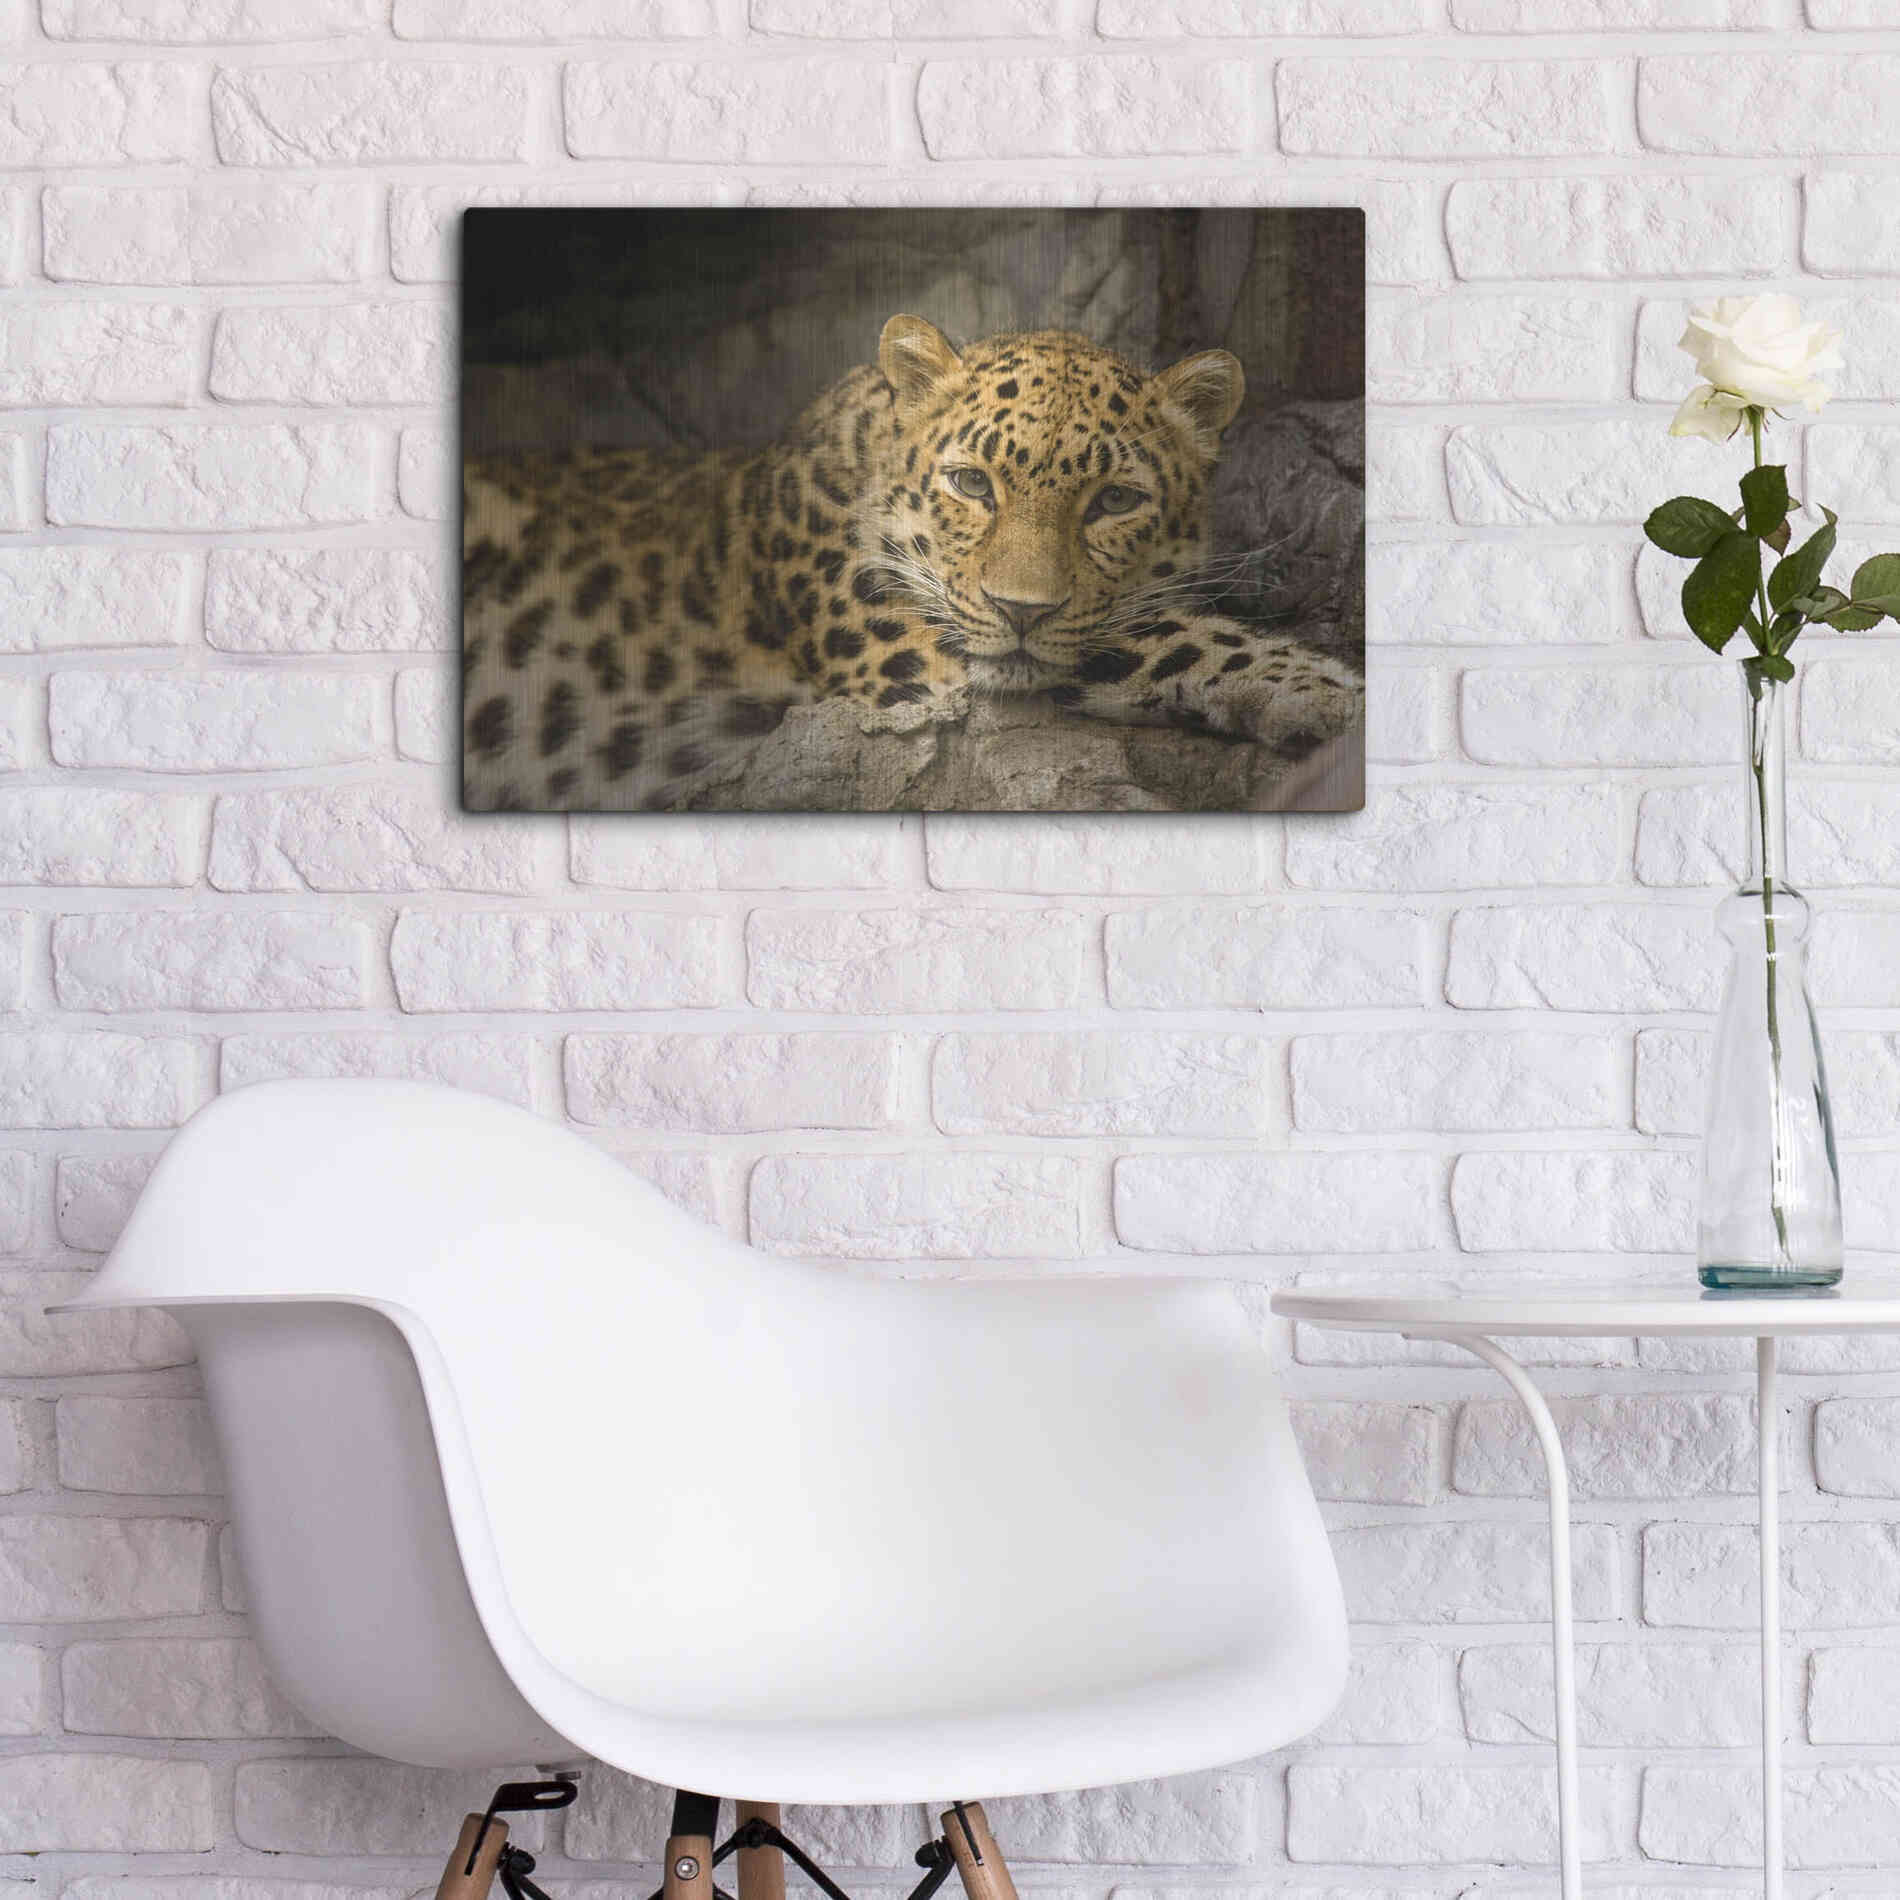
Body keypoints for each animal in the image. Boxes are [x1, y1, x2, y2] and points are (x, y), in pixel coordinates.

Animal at [461, 313, 1362, 811]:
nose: (1022, 609)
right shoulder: (919, 656)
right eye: (972, 483)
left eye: (1114, 501)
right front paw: (1328, 692)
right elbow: (1171, 636)